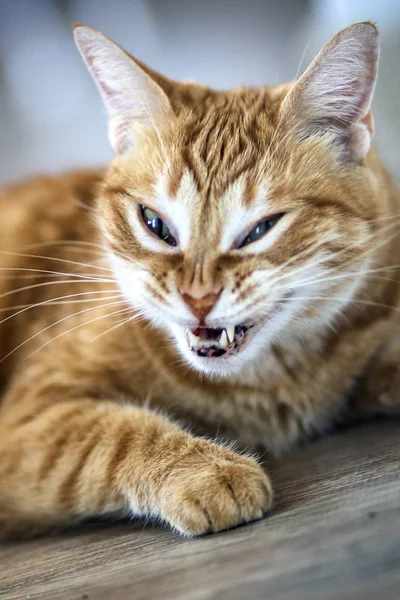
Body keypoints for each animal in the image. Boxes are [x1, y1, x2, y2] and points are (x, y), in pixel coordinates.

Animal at [0, 22, 400, 540]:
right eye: (155, 224)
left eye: (260, 229)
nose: (198, 298)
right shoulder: (28, 419)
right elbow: (111, 437)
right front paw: (205, 470)